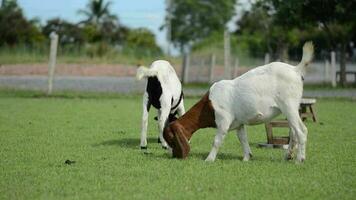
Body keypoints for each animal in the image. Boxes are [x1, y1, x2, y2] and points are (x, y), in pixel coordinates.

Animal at [163, 42, 312, 162]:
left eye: (171, 139)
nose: (174, 156)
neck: (209, 104)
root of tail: (296, 69)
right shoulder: (239, 123)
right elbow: (243, 139)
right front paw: (246, 157)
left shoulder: (224, 120)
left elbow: (217, 141)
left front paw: (209, 159)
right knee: (293, 132)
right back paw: (288, 156)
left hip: (289, 105)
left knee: (301, 130)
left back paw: (300, 159)